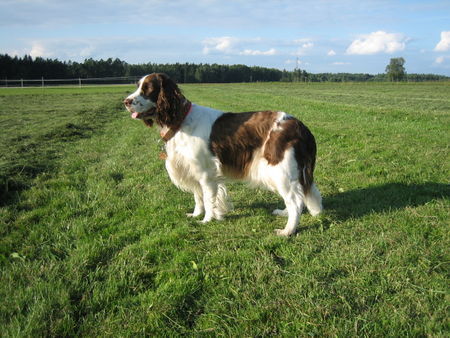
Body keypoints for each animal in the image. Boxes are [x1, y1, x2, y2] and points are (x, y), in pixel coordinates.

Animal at [121, 72, 322, 235]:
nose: (126, 102)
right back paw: (283, 214)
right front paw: (196, 214)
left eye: (148, 89)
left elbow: (208, 199)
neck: (181, 120)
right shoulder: (192, 170)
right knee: (298, 198)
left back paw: (288, 230)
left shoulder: (206, 174)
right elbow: (198, 198)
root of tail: (301, 126)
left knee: (295, 201)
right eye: (137, 86)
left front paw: (207, 220)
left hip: (281, 170)